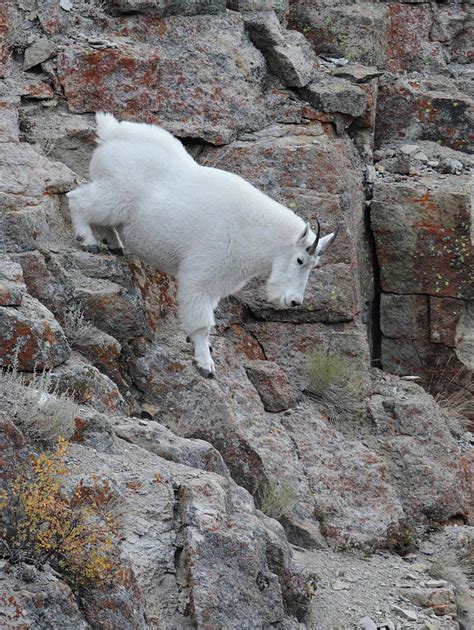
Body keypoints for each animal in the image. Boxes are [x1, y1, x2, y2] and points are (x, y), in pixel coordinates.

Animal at [68, 114, 338, 378]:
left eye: (314, 265)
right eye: (300, 260)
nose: (294, 301)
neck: (251, 230)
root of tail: (111, 134)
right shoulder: (200, 277)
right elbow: (202, 323)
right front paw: (205, 364)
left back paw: (115, 245)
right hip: (113, 196)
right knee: (77, 199)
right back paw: (87, 240)